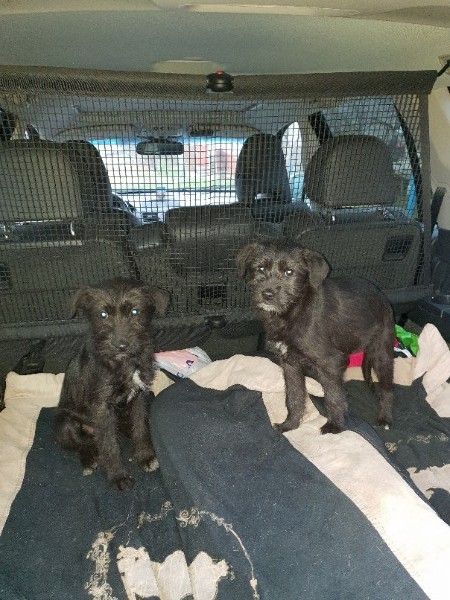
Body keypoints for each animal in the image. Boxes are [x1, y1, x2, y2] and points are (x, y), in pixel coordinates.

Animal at [54, 277, 170, 490]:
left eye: (135, 312)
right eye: (103, 314)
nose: (121, 345)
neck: (124, 363)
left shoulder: (139, 396)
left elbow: (140, 427)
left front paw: (145, 456)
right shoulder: (102, 407)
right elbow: (109, 445)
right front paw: (118, 475)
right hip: (66, 423)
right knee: (83, 443)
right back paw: (89, 459)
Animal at [236, 242, 395, 434]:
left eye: (289, 272)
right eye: (260, 268)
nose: (267, 294)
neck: (294, 311)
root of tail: (380, 294)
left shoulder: (331, 362)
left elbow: (334, 396)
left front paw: (335, 426)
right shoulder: (290, 364)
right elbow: (294, 396)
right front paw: (290, 424)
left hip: (382, 352)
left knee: (387, 388)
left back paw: (385, 418)